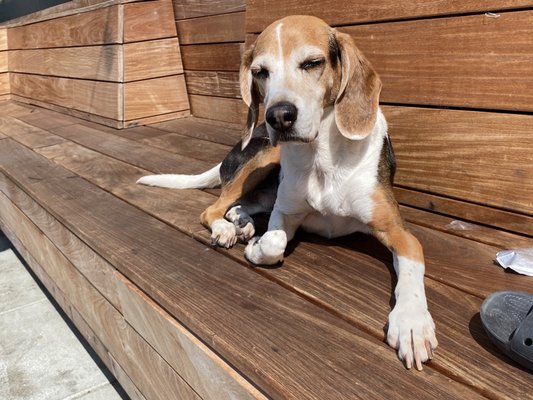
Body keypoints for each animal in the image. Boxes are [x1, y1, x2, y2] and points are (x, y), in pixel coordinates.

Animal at [137, 15, 436, 372]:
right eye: (259, 72)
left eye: (312, 63)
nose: (278, 116)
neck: (322, 158)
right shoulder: (286, 213)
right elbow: (275, 240)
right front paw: (256, 248)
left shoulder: (400, 234)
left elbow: (411, 275)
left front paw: (411, 323)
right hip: (264, 156)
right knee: (213, 209)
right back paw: (228, 228)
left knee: (242, 204)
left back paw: (241, 222)